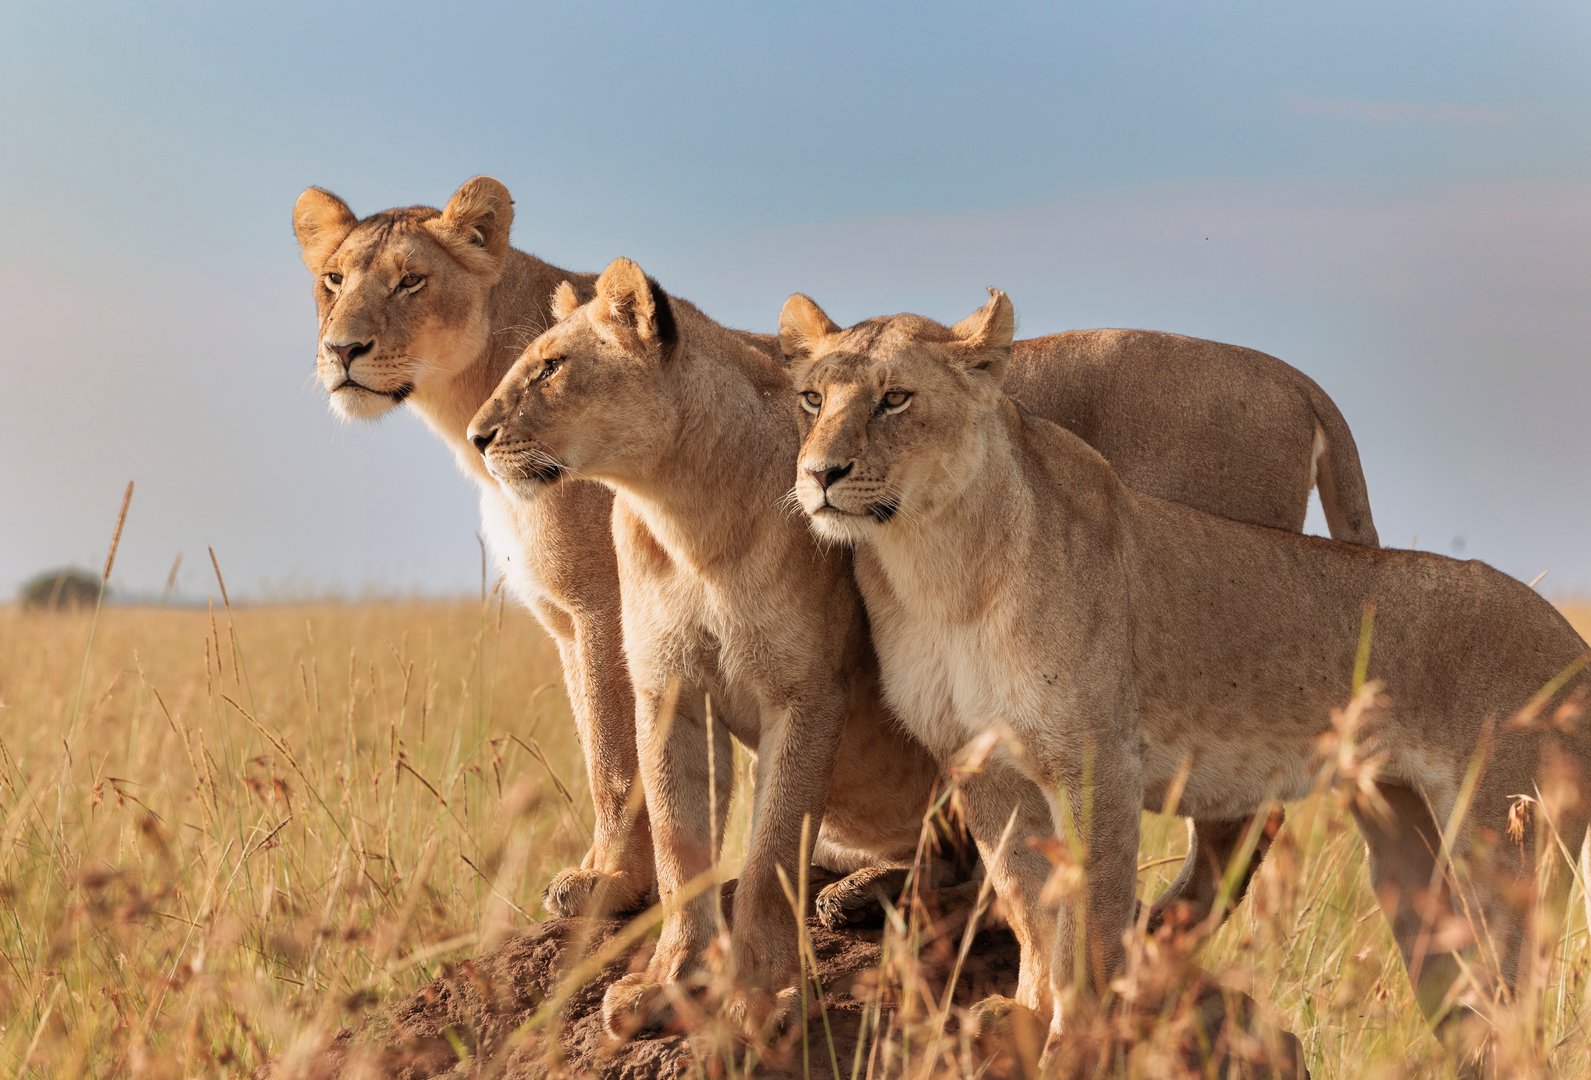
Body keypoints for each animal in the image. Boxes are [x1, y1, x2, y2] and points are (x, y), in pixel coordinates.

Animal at [784, 288, 1591, 1072]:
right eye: (811, 400)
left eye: (895, 398)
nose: (819, 475)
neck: (937, 565)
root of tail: (1571, 636)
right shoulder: (981, 762)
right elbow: (1029, 900)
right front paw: (1024, 1014)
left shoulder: (1096, 761)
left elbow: (1088, 916)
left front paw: (1073, 1037)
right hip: (1409, 860)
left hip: (1506, 849)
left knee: (1516, 1011)